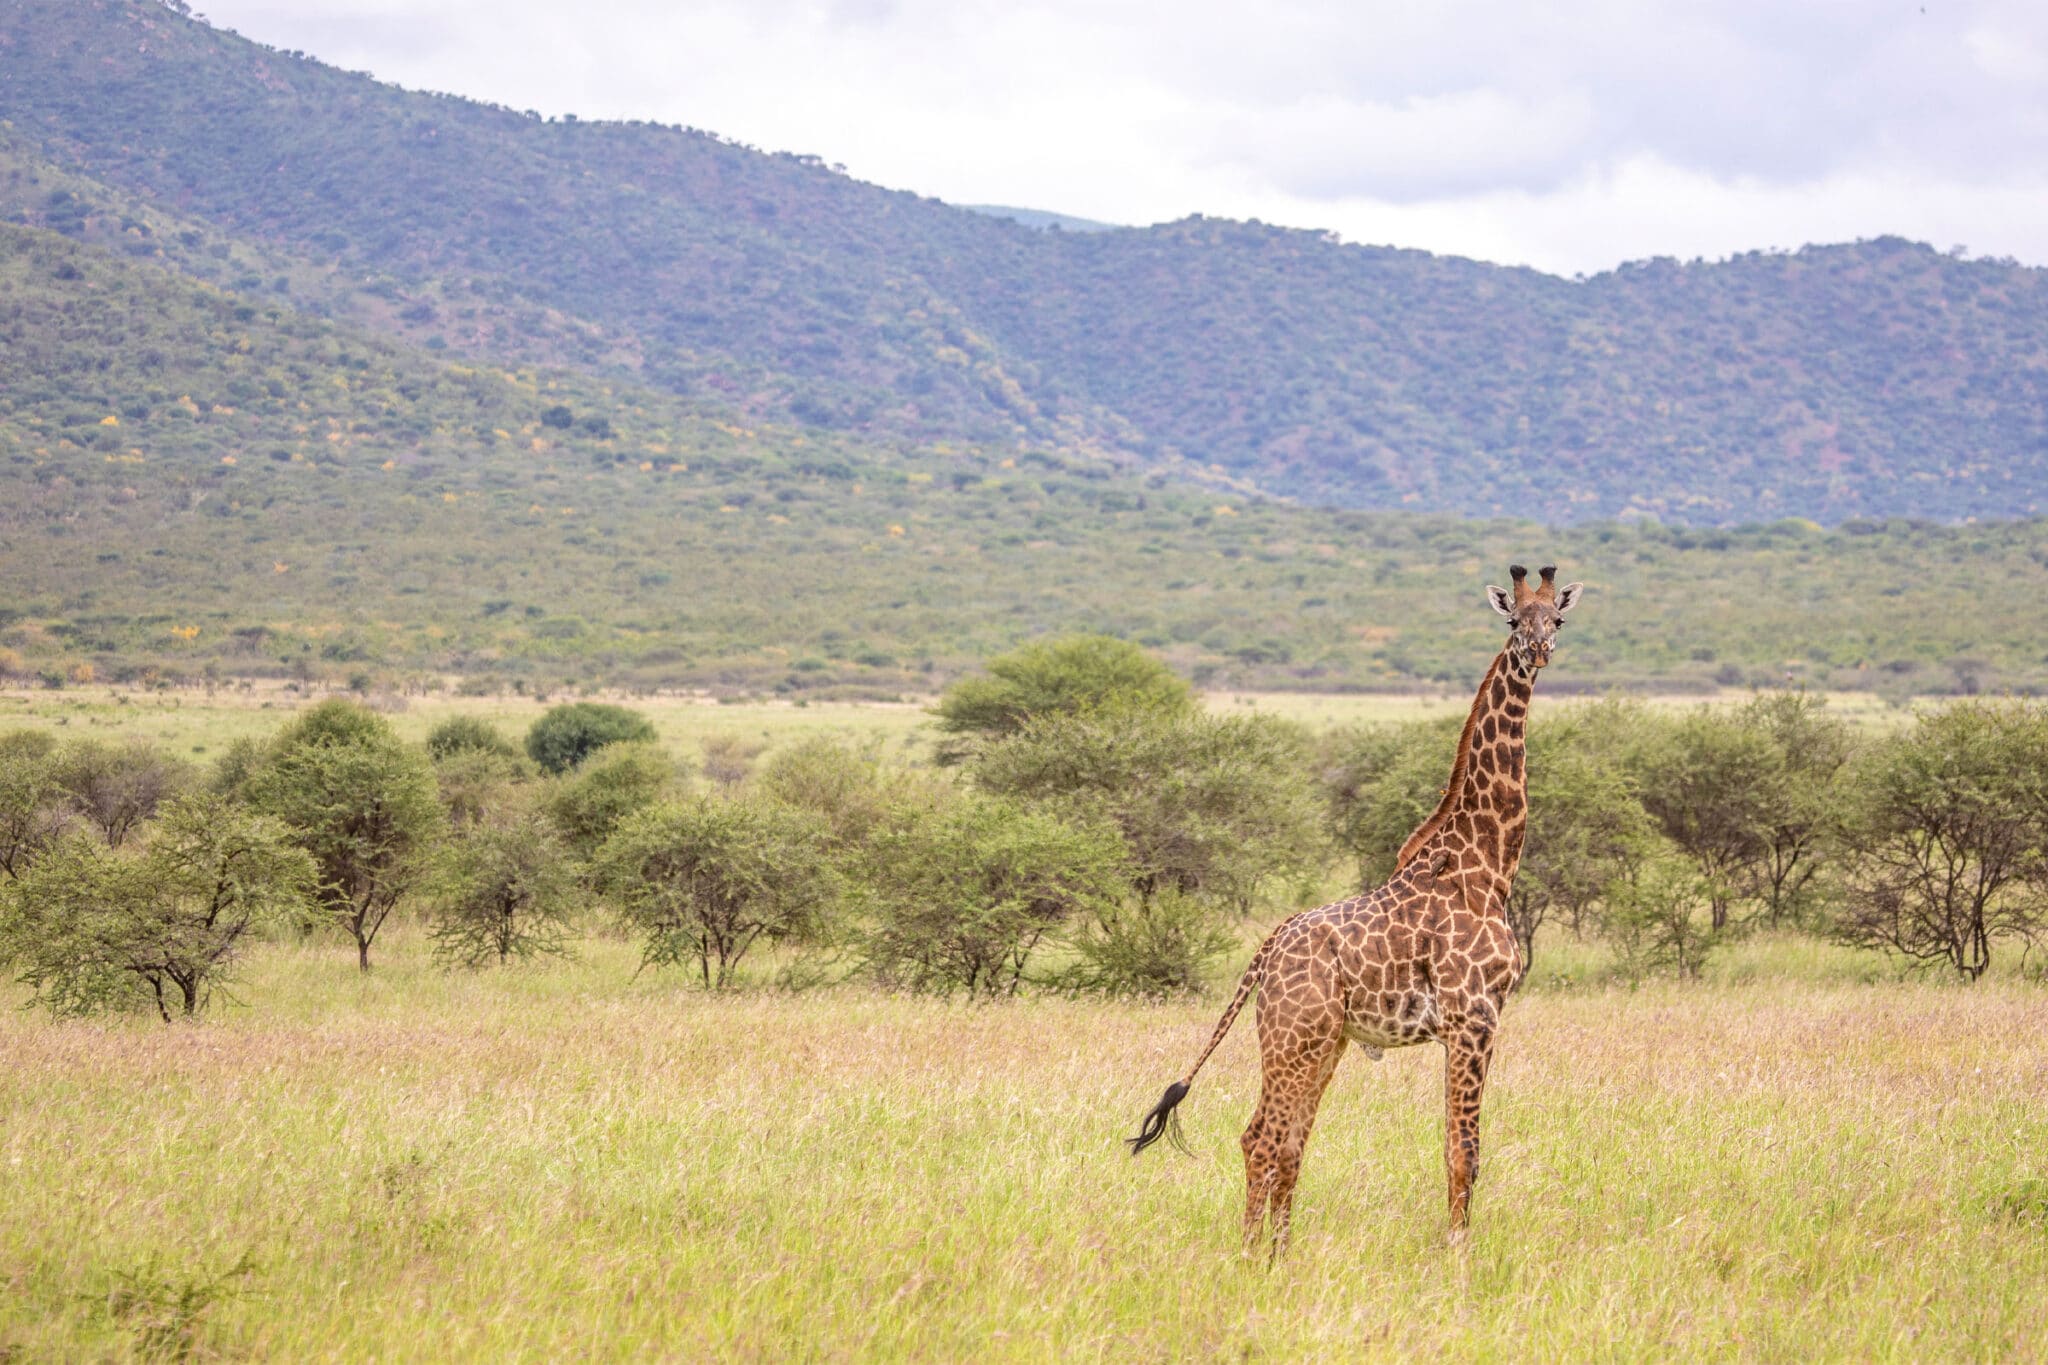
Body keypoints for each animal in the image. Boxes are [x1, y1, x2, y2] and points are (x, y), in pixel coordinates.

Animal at [1128, 564, 1583, 1255]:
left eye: (1555, 617)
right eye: (1512, 619)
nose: (1537, 651)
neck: (1488, 865)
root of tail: (1264, 951)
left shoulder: (1466, 1025)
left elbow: (1456, 1146)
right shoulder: (1474, 1018)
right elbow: (1464, 1151)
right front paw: (1459, 1253)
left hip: (1324, 1042)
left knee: (1284, 1142)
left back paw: (1278, 1254)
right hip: (1295, 1038)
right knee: (1263, 1138)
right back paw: (1253, 1255)